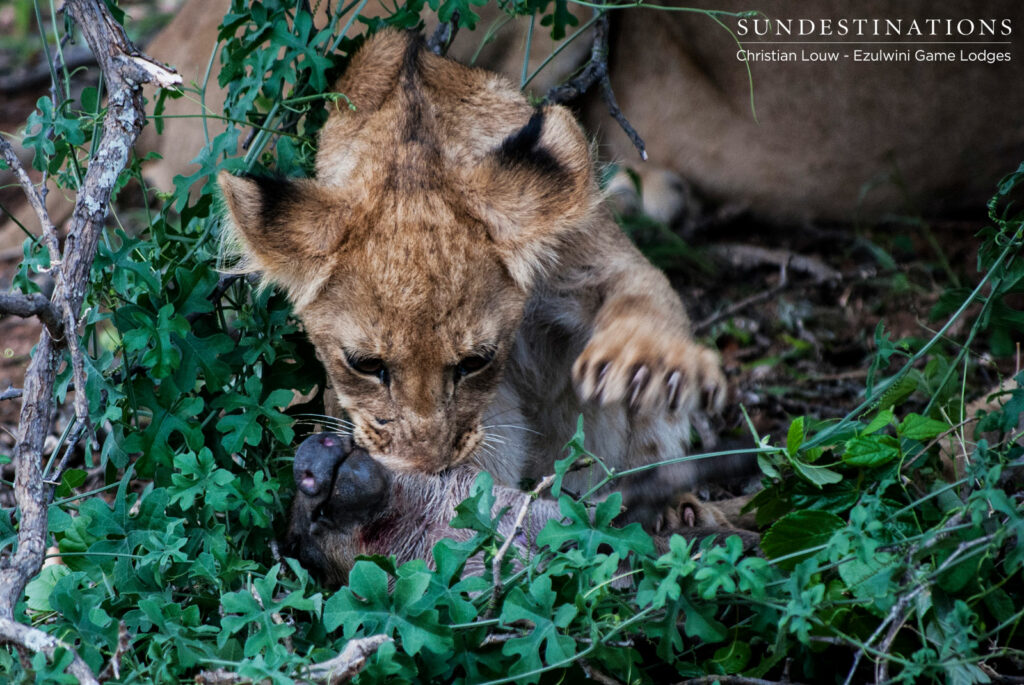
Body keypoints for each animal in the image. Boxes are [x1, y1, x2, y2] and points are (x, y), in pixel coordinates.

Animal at [218, 29, 736, 580]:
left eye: (475, 362)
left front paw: (646, 363)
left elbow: (643, 291)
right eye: (366, 364)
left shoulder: (593, 254)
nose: (428, 467)